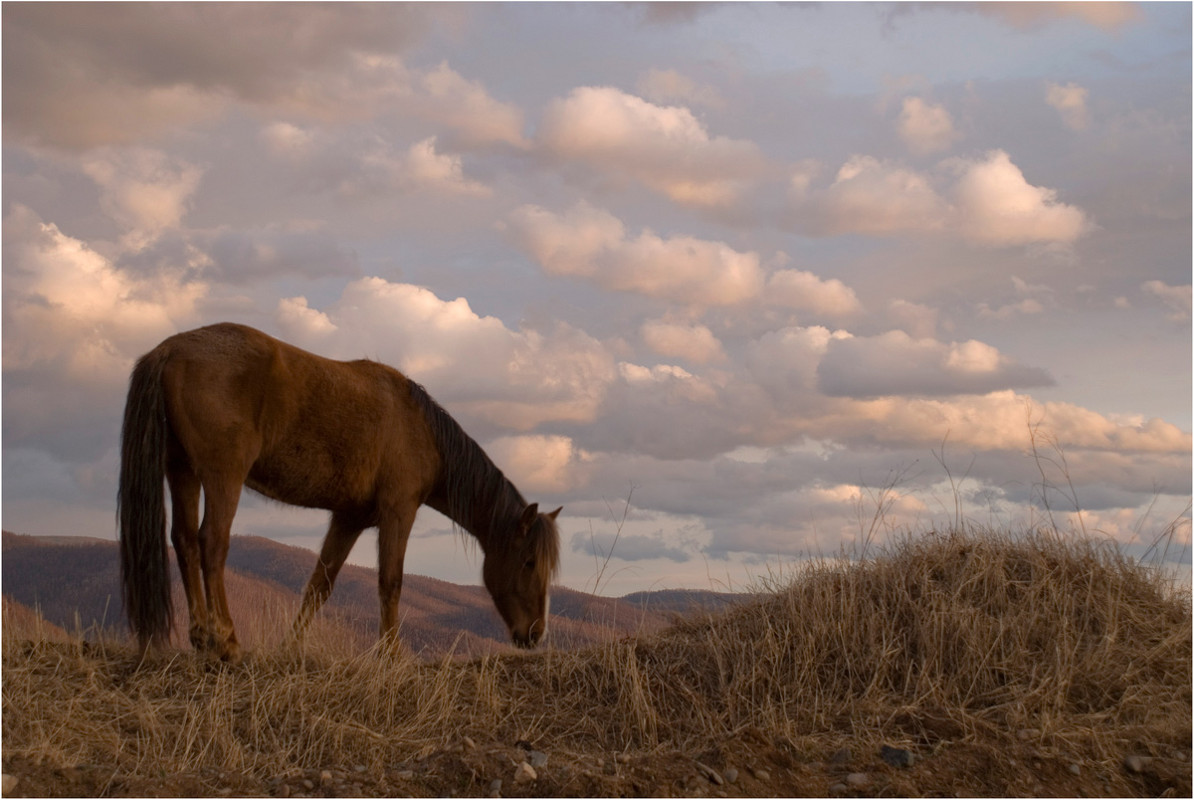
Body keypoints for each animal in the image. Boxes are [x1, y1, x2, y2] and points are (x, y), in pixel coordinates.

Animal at [116, 322, 558, 663]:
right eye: (529, 562)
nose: (536, 634)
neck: (420, 429)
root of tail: (169, 349)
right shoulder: (398, 510)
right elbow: (390, 582)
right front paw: (392, 655)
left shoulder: (349, 519)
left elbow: (318, 586)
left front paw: (290, 648)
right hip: (222, 475)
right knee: (212, 543)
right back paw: (225, 641)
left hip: (182, 472)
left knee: (185, 541)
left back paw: (200, 638)